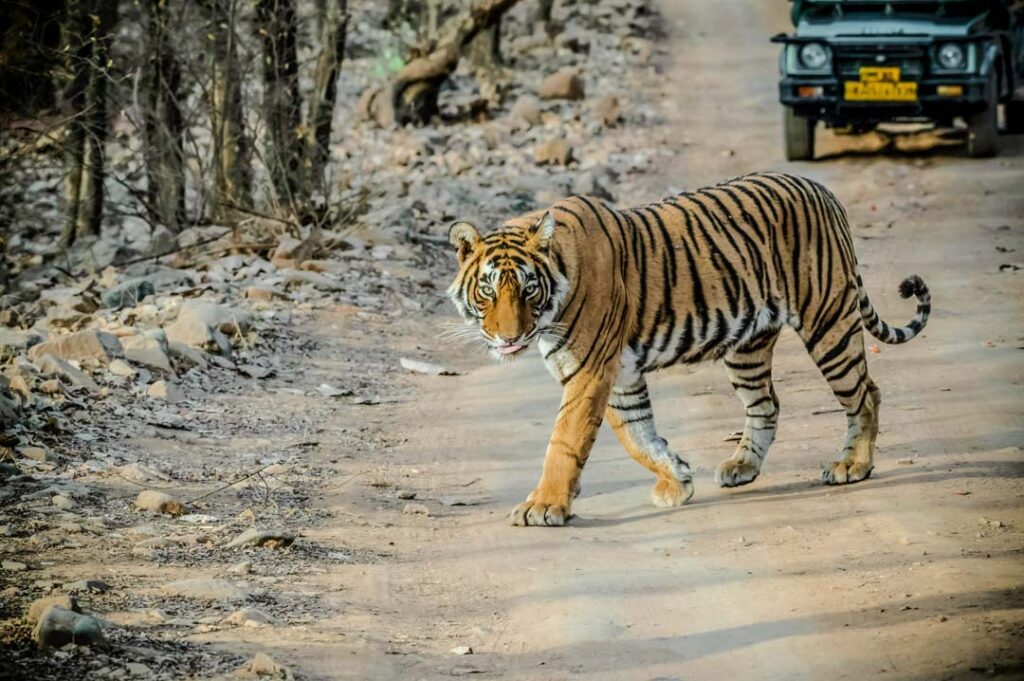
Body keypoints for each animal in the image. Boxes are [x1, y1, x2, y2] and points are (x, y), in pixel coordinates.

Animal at [446, 171, 930, 527]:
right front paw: (677, 479)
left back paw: (853, 466)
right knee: (766, 404)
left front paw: (544, 506)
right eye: (488, 290)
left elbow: (564, 440)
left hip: (828, 321)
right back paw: (742, 466)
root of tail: (823, 190)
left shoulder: (589, 372)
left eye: (528, 289)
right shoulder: (619, 375)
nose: (508, 338)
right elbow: (638, 436)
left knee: (865, 394)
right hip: (748, 347)